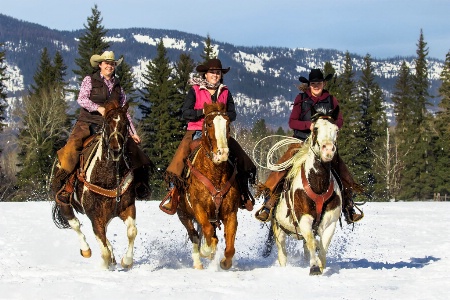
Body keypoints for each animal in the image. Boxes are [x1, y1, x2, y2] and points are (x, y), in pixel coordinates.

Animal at [51, 99, 139, 270]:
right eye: (107, 123)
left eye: (126, 123)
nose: (115, 149)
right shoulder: (95, 214)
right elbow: (103, 248)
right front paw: (106, 266)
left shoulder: (127, 207)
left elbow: (132, 231)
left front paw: (126, 261)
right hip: (64, 203)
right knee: (75, 224)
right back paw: (86, 250)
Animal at [177, 102, 243, 270]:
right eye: (208, 124)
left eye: (228, 124)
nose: (222, 153)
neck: (215, 174)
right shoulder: (198, 207)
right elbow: (206, 232)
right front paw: (206, 250)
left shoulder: (230, 213)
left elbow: (230, 246)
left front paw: (225, 262)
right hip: (183, 215)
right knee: (194, 235)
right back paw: (198, 261)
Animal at [268, 116, 340, 276]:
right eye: (315, 128)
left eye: (336, 129)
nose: (328, 150)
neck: (318, 185)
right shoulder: (304, 218)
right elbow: (312, 242)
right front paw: (314, 267)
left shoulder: (330, 222)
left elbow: (324, 245)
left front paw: (320, 264)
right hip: (279, 230)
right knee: (283, 254)